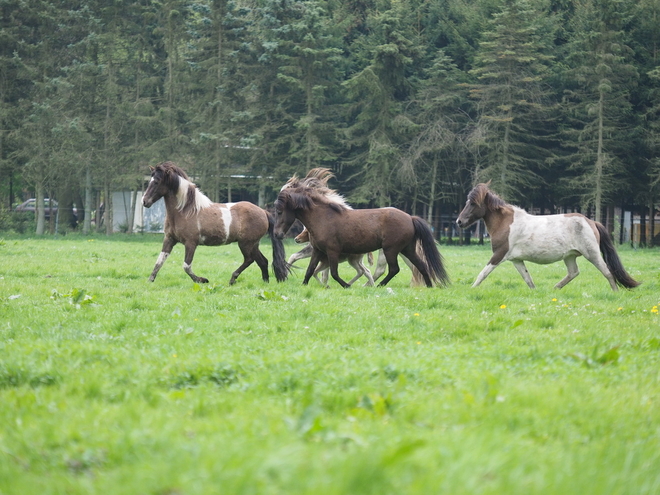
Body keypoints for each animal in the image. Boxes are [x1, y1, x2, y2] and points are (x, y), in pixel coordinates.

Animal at [142, 162, 288, 284]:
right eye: (150, 181)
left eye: (157, 181)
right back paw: (265, 281)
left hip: (246, 243)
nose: (144, 201)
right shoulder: (169, 239)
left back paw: (233, 279)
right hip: (253, 244)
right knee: (262, 261)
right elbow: (159, 261)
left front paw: (202, 280)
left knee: (249, 259)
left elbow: (186, 266)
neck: (184, 211)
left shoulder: (191, 243)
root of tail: (263, 212)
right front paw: (150, 280)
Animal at [272, 184, 448, 288]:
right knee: (421, 266)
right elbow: (310, 270)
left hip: (391, 250)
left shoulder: (332, 251)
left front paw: (346, 286)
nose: (277, 234)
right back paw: (429, 286)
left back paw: (378, 286)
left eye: (280, 211)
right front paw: (304, 285)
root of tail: (410, 218)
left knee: (393, 269)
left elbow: (334, 273)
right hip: (407, 250)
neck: (323, 218)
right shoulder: (317, 250)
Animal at [456, 182, 636, 290]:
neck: (505, 223)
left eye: (473, 203)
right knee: (573, 272)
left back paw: (615, 292)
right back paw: (555, 288)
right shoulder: (516, 260)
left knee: (608, 272)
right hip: (569, 256)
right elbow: (528, 279)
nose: (459, 221)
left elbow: (483, 274)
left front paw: (472, 289)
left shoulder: (499, 255)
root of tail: (591, 222)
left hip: (592, 254)